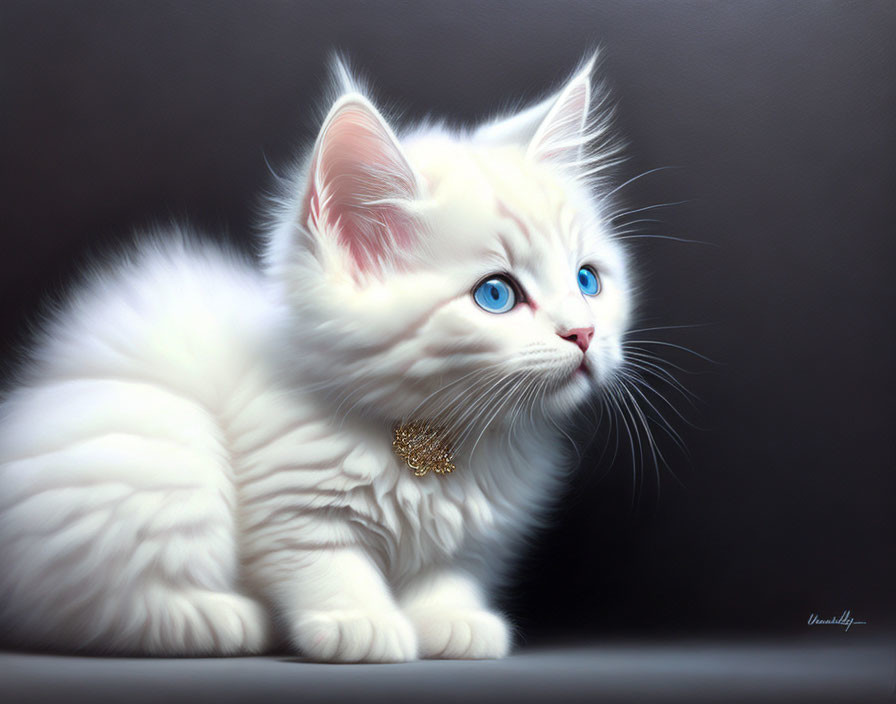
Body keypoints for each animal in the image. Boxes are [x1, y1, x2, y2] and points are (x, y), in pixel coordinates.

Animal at [0, 59, 632, 660]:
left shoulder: (467, 536)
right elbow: (328, 564)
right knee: (93, 606)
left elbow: (445, 573)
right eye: (496, 295)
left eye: (587, 281)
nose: (583, 333)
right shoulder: (292, 503)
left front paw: (451, 622)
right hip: (161, 448)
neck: (437, 435)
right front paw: (362, 624)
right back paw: (223, 618)